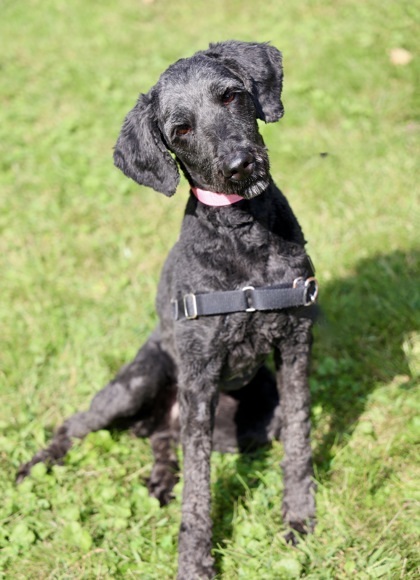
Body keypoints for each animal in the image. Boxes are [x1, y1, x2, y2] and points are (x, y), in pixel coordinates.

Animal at [17, 42, 318, 580]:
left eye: (230, 95)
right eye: (181, 130)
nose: (240, 164)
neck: (243, 235)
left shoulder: (294, 345)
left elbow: (300, 435)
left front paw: (299, 517)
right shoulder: (199, 374)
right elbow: (199, 487)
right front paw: (194, 560)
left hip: (250, 419)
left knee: (168, 439)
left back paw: (160, 479)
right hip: (140, 379)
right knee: (77, 423)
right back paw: (37, 466)